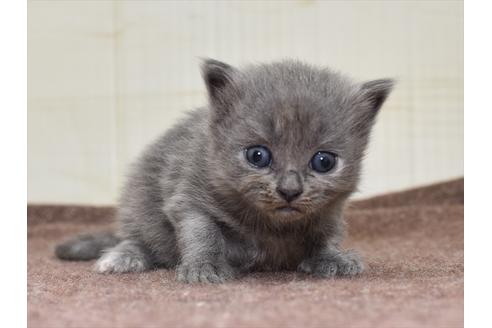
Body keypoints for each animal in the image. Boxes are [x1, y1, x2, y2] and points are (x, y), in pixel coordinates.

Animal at [54, 59, 392, 284]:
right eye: (258, 156)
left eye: (324, 161)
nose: (289, 190)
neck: (272, 227)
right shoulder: (189, 195)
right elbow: (202, 232)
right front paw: (205, 267)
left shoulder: (330, 212)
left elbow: (326, 235)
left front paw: (332, 258)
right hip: (141, 205)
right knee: (139, 238)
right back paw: (120, 258)